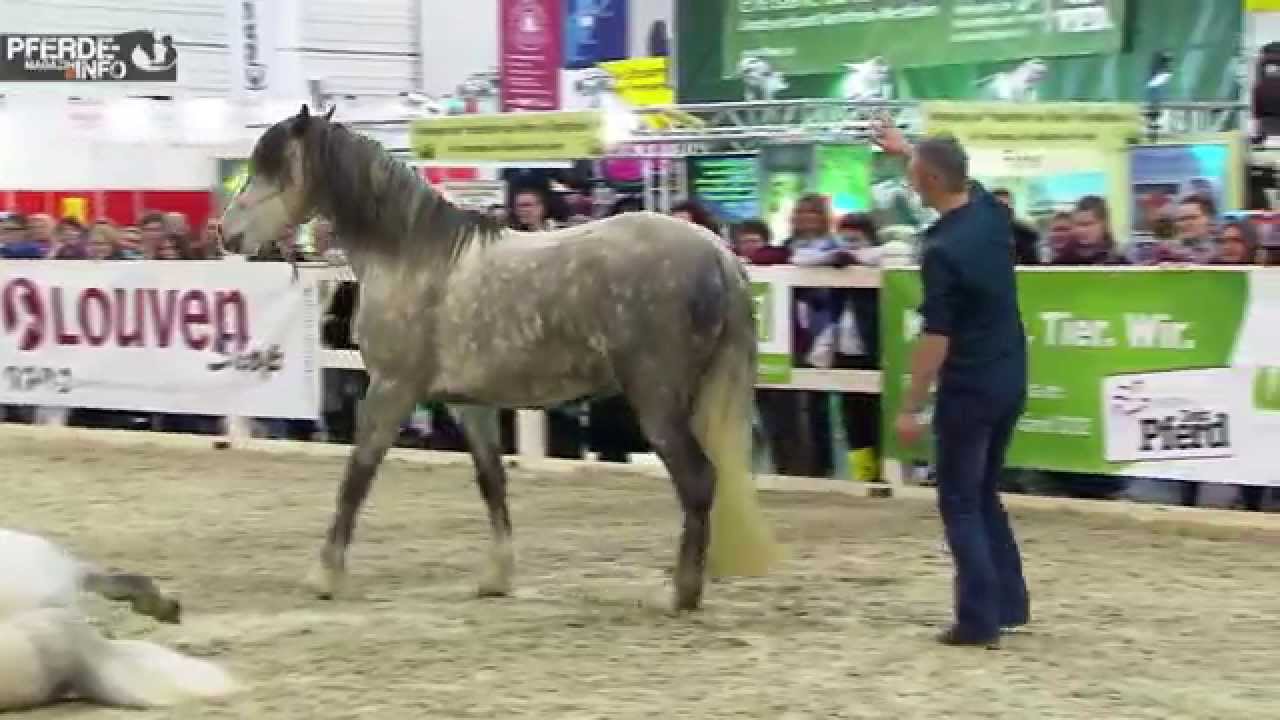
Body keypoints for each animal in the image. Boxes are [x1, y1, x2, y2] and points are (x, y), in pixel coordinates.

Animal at [220, 105, 783, 612]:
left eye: (273, 168)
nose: (226, 234)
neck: (412, 257)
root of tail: (720, 255)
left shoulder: (392, 388)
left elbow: (357, 476)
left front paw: (325, 575)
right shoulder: (470, 403)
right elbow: (492, 481)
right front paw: (497, 577)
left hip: (658, 401)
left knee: (698, 480)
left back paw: (680, 594)